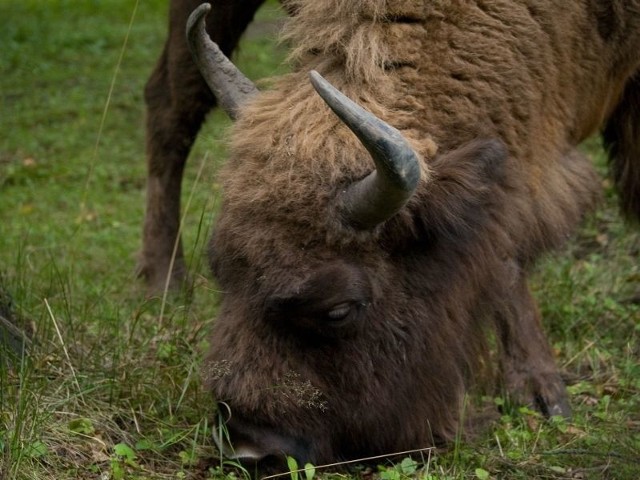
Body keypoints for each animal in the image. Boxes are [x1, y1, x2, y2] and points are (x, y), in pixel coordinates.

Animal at [160, 0, 640, 472]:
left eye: (338, 310)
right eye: (221, 273)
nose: (250, 449)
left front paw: (542, 395)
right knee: (171, 108)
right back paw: (159, 281)